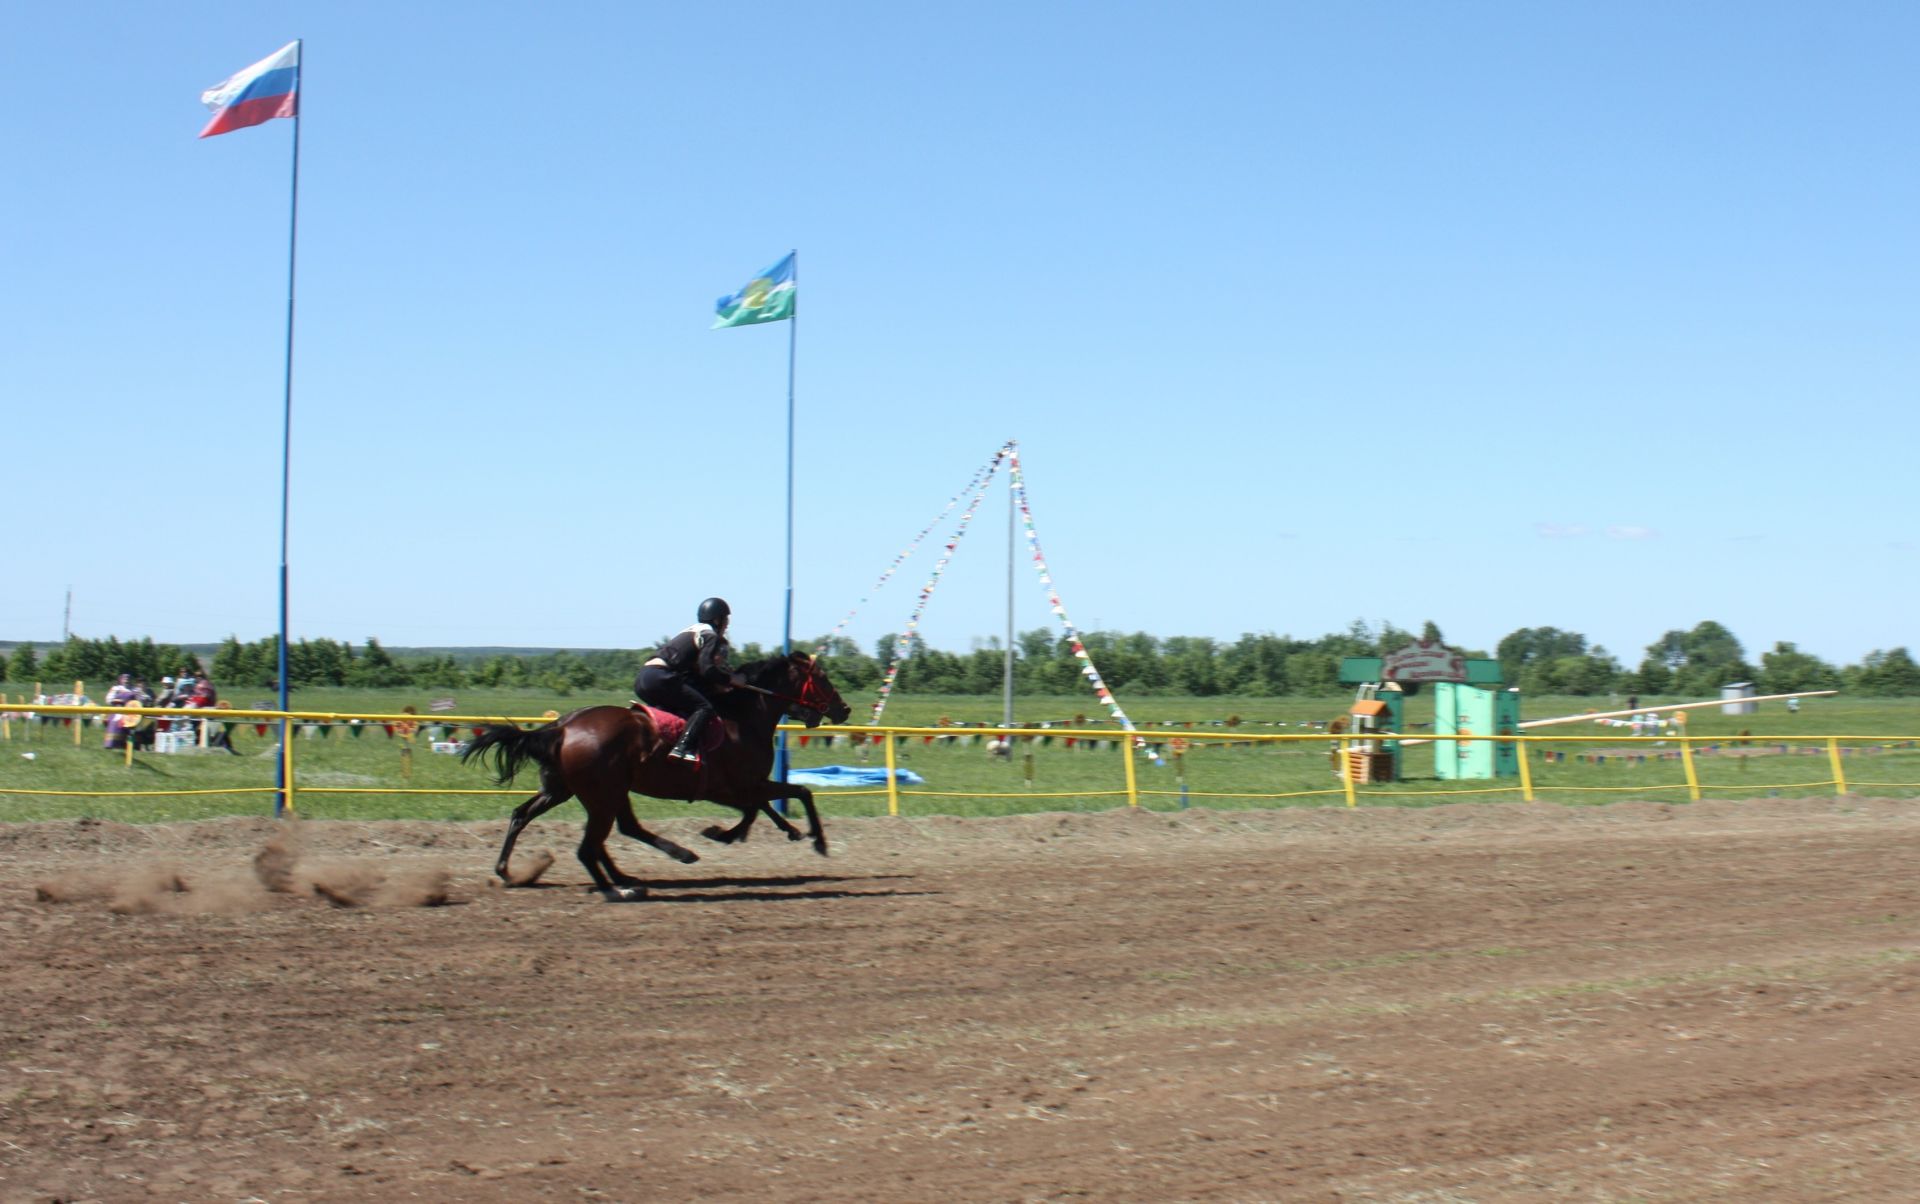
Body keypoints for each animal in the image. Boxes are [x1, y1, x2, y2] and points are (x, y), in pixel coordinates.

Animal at [456, 652, 848, 898]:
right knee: (592, 844)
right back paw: (620, 886)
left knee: (528, 816)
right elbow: (790, 795)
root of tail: (561, 727)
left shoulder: (740, 787)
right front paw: (815, 840)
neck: (743, 715)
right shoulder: (735, 786)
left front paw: (789, 831)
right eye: (823, 678)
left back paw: (510, 870)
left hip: (572, 790)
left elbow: (769, 804)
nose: (843, 709)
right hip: (603, 793)